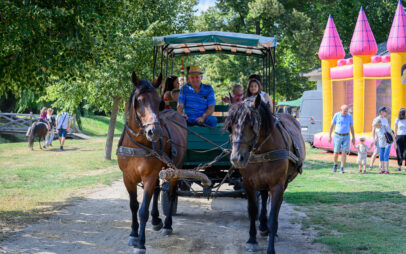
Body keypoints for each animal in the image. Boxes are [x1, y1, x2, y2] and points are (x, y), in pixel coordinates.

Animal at [116, 71, 188, 254]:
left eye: (159, 102)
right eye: (140, 100)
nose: (154, 131)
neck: (137, 144)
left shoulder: (149, 175)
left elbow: (143, 211)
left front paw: (141, 244)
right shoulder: (128, 177)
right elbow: (133, 205)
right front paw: (133, 235)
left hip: (175, 169)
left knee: (170, 194)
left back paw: (167, 224)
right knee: (157, 190)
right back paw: (156, 220)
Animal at [225, 95, 304, 254]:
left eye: (251, 125)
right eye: (230, 127)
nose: (236, 158)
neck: (262, 151)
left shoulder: (277, 185)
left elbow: (273, 214)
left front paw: (271, 247)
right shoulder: (248, 183)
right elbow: (252, 211)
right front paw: (252, 240)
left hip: (283, 183)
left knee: (276, 204)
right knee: (263, 195)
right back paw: (262, 226)